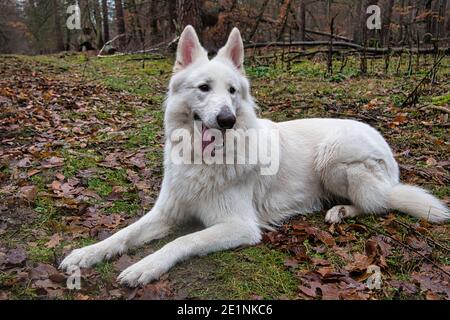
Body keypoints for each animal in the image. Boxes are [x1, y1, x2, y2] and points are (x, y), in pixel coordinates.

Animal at [60, 26, 450, 286]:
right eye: (204, 88)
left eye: (233, 91)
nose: (227, 120)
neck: (204, 161)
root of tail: (386, 148)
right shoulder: (166, 212)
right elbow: (124, 234)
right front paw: (87, 253)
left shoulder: (239, 226)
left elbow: (184, 240)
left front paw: (146, 266)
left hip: (334, 158)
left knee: (378, 203)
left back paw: (340, 210)